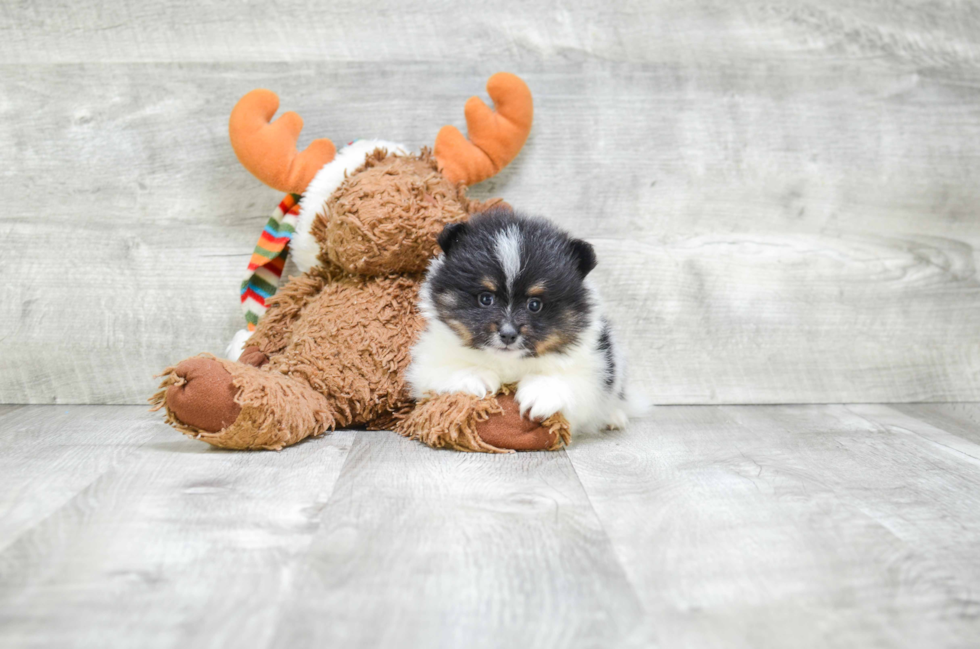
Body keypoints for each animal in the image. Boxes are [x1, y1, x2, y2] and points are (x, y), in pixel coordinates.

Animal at [406, 208, 644, 436]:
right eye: (486, 298)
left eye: (535, 304)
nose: (508, 334)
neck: (508, 363)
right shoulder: (428, 360)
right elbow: (441, 371)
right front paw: (473, 377)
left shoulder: (595, 367)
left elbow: (573, 383)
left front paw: (542, 393)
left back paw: (613, 418)